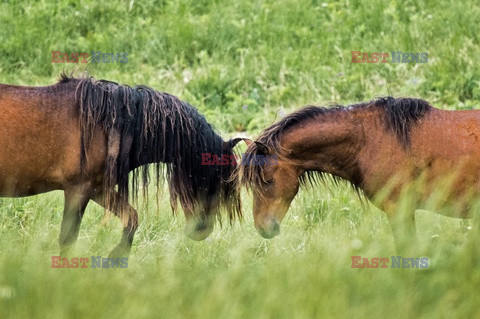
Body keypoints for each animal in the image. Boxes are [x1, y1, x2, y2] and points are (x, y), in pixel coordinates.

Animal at [0, 74, 246, 258]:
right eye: (210, 177)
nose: (201, 231)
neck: (107, 125)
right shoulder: (77, 190)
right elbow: (68, 239)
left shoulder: (97, 189)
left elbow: (132, 218)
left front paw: (116, 255)